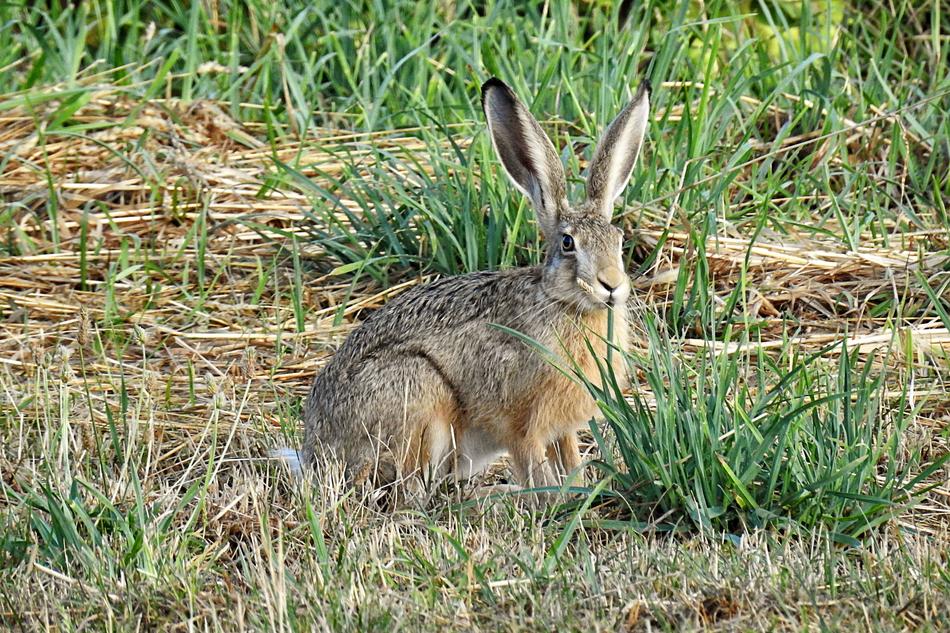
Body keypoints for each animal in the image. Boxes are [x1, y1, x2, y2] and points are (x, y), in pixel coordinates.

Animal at [278, 76, 651, 500]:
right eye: (568, 243)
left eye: (618, 240)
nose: (612, 285)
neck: (563, 303)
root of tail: (316, 455)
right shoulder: (521, 422)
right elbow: (534, 466)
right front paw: (549, 501)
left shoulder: (564, 428)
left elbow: (570, 460)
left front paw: (580, 490)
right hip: (418, 392)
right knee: (410, 495)